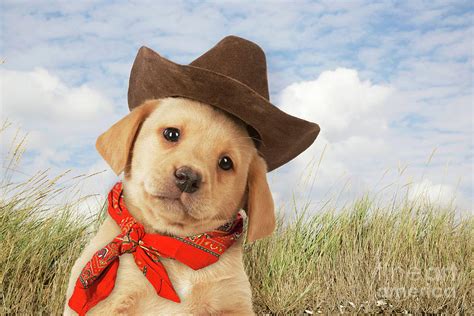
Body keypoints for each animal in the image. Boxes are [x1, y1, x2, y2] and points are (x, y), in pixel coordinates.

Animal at [65, 97, 276, 314]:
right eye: (171, 134)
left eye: (226, 162)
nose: (188, 178)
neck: (172, 245)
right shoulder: (110, 303)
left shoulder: (234, 302)